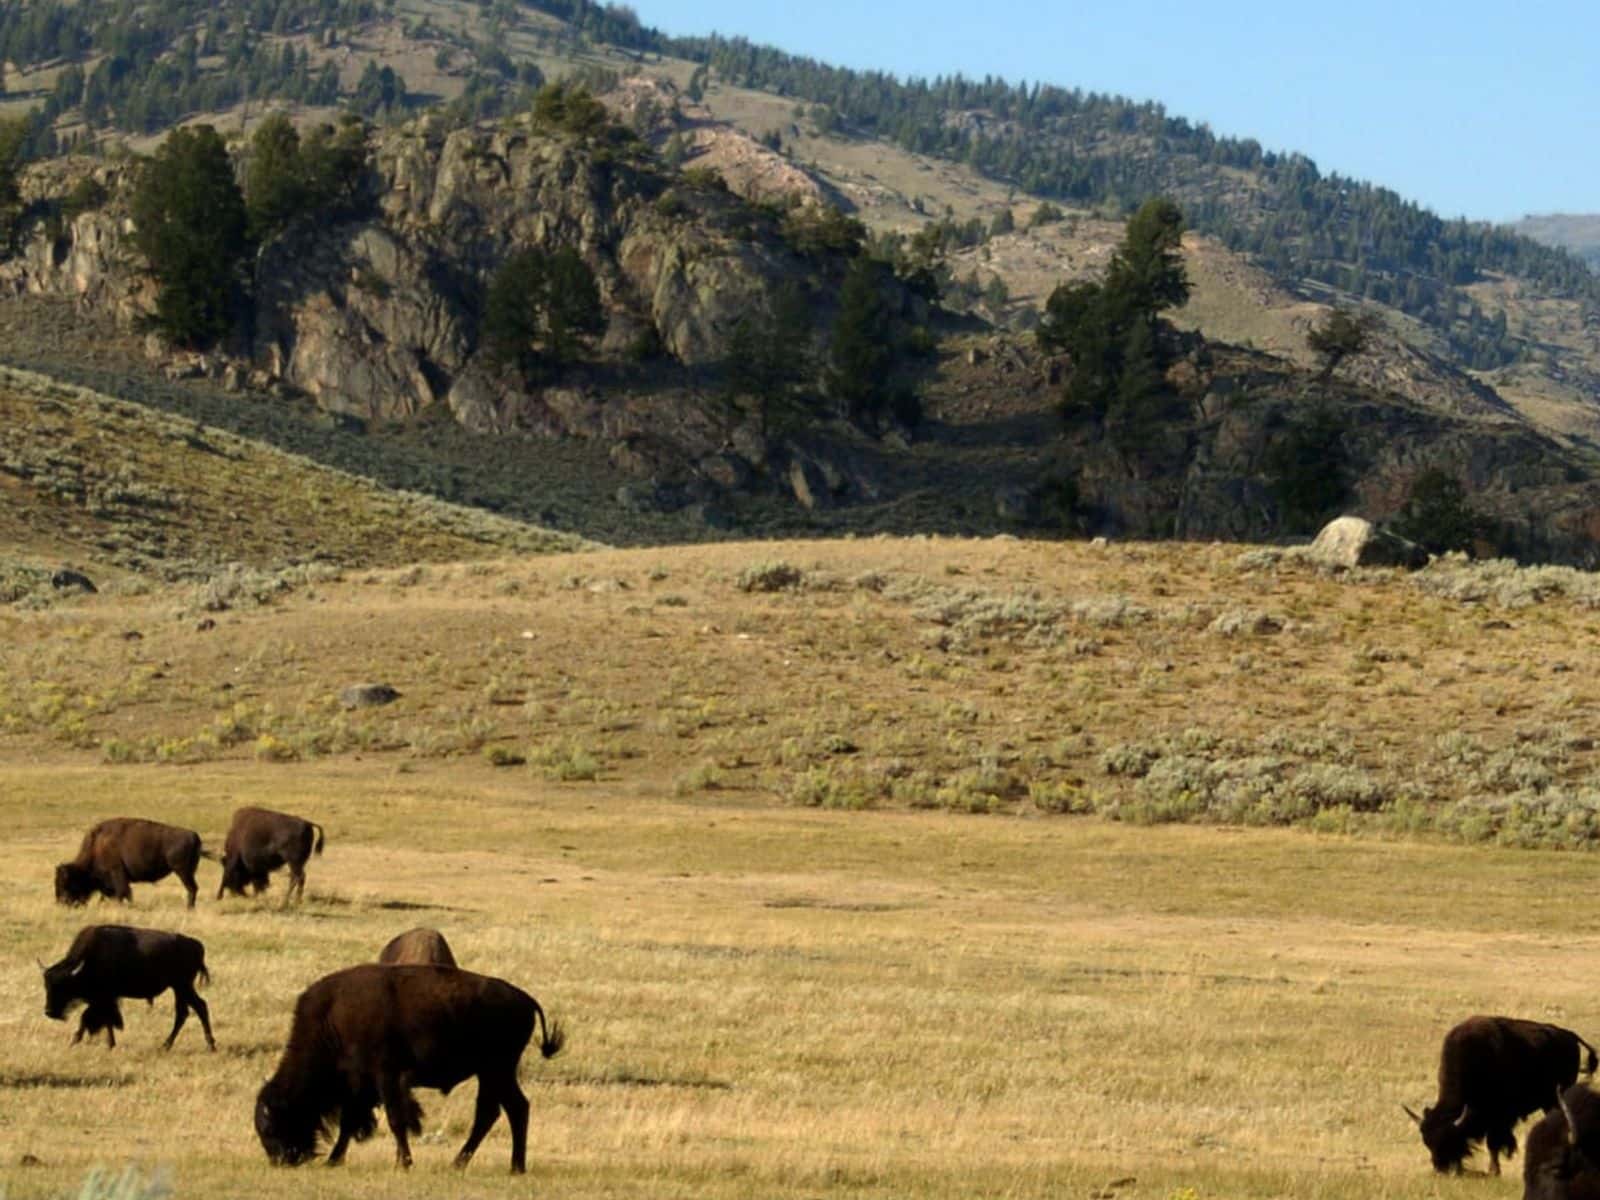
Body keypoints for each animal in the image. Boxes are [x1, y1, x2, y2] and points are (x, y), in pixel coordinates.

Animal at [40, 925, 215, 1051]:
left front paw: (74, 1040)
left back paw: (207, 1045)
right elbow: (106, 1020)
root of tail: (196, 944)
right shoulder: (105, 1000)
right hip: (179, 988)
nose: (49, 1012)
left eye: (64, 986)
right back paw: (168, 1045)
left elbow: (89, 1017)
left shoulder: (104, 998)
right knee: (185, 1012)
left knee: (198, 1008)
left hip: (183, 986)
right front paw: (110, 1044)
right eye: (46, 986)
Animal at [55, 817, 205, 909]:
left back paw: (189, 909)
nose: (61, 903)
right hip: (188, 872)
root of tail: (194, 835)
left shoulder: (117, 873)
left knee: (192, 888)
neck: (96, 847)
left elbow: (123, 892)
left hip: (183, 872)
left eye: (66, 884)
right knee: (193, 888)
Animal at [254, 963, 563, 1172]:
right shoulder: (360, 1086)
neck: (332, 1018)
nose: (280, 1160)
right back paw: (481, 1165)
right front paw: (334, 1160)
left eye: (271, 1127)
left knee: (505, 1110)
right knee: (502, 1111)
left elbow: (395, 1119)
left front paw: (403, 1163)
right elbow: (349, 1123)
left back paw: (498, 1165)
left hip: (496, 1069)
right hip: (493, 1073)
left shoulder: (386, 1077)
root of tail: (525, 999)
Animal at [1406, 1015, 1598, 1175]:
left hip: (1556, 1098)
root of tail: (1569, 1036)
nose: (1441, 1168)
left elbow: (1494, 1143)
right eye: (1427, 1141)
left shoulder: (1499, 1117)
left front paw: (1494, 1171)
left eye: (1448, 1139)